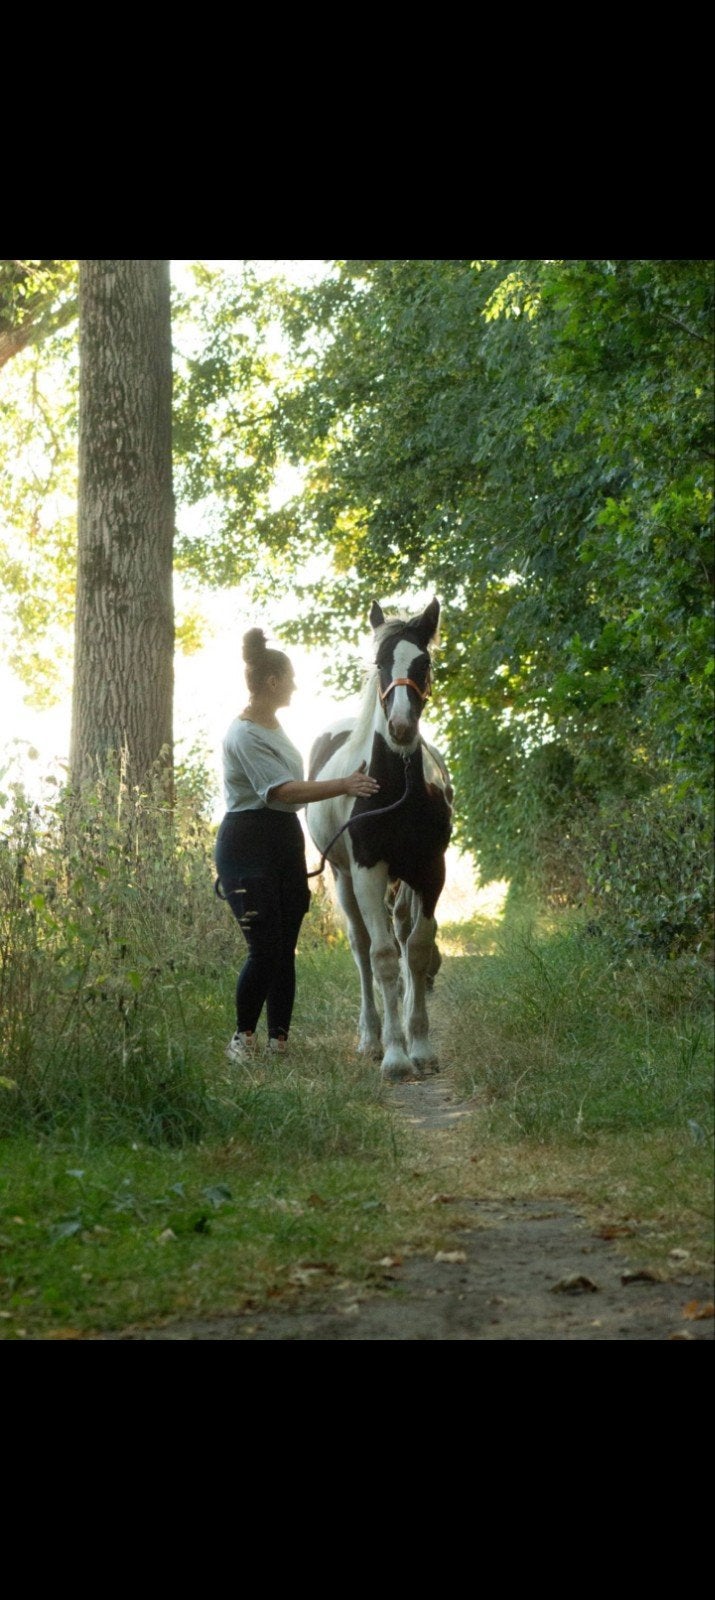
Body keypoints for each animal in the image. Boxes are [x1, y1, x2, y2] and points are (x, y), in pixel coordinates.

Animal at [306, 597, 453, 1082]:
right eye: (380, 663)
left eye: (424, 662)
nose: (401, 727)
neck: (396, 789)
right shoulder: (369, 872)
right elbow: (384, 957)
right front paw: (394, 1055)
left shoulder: (430, 871)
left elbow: (418, 949)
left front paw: (420, 1045)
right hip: (343, 880)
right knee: (362, 947)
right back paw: (370, 1038)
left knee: (404, 936)